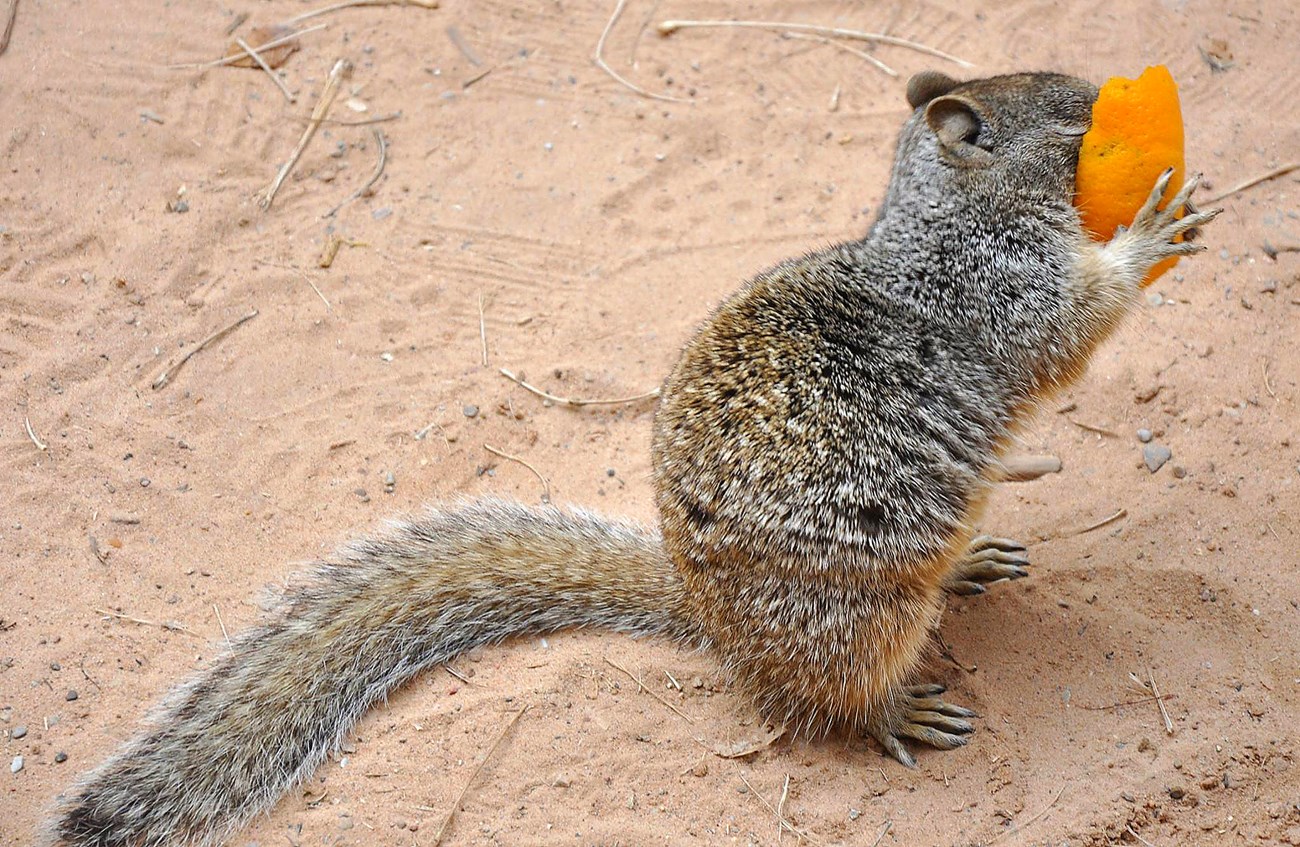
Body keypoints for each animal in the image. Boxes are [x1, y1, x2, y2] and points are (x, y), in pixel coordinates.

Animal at [50, 69, 1216, 841]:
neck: (945, 219)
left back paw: (971, 559)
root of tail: (710, 619)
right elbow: (1072, 324)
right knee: (835, 699)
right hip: (866, 617)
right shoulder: (1004, 292)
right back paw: (897, 706)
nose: (1111, 83)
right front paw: (1151, 235)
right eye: (1075, 114)